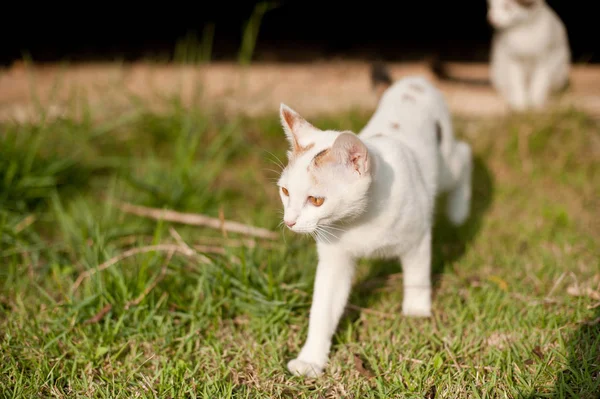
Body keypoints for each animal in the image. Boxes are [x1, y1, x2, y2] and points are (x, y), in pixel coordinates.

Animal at [276, 63, 474, 378]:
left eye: (316, 200)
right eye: (285, 192)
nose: (290, 221)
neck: (359, 222)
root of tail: (413, 81)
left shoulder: (417, 238)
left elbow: (417, 277)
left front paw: (416, 312)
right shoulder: (334, 260)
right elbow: (322, 310)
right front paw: (311, 359)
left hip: (445, 167)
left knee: (464, 153)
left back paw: (459, 211)